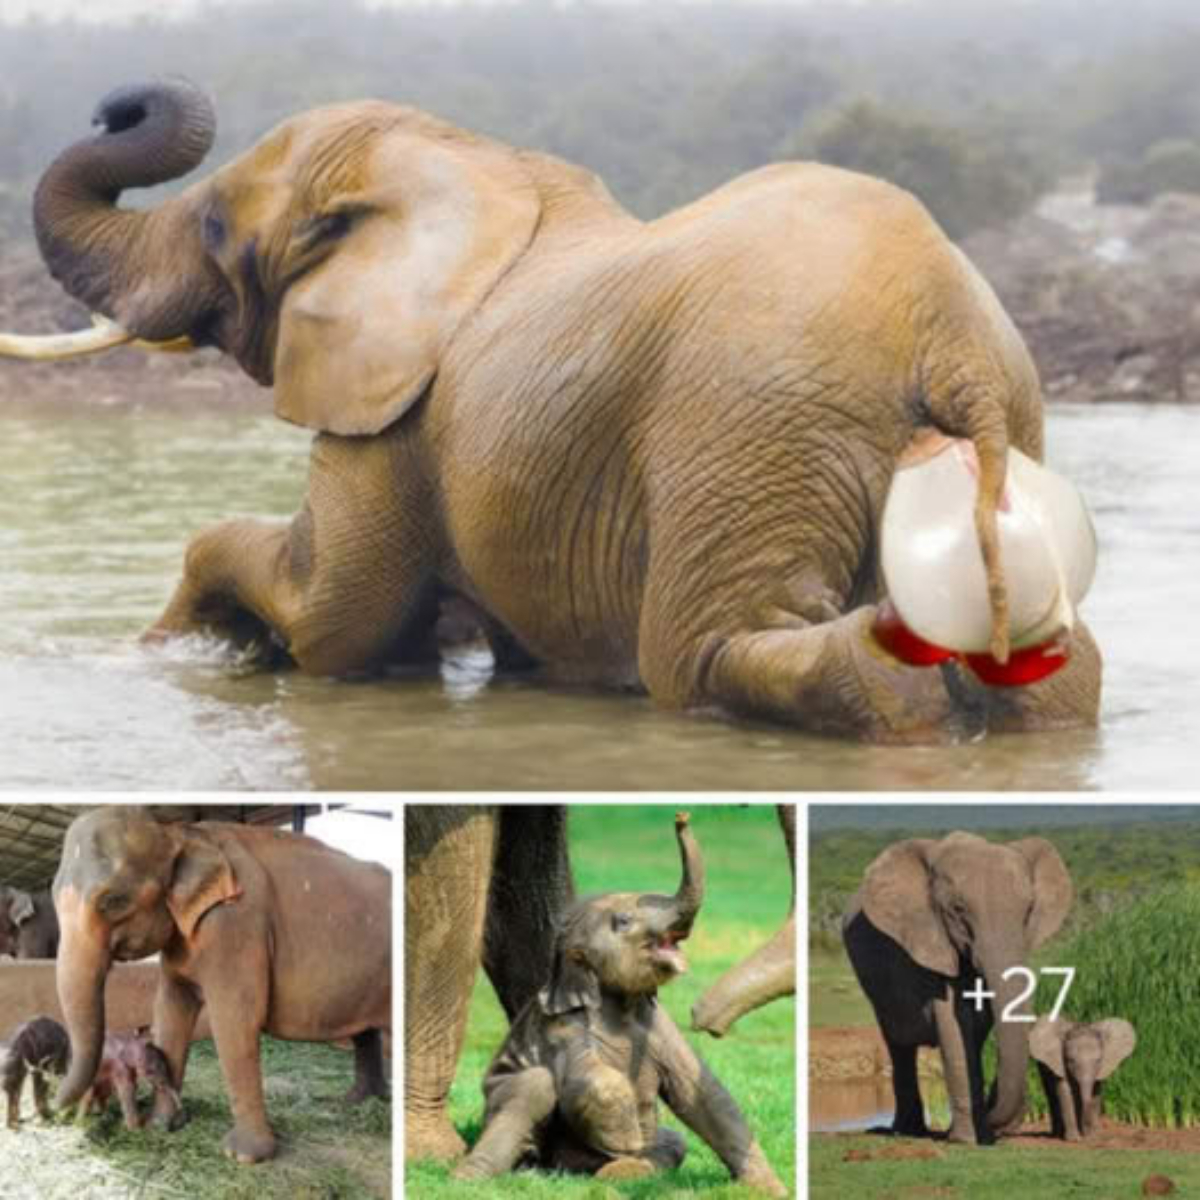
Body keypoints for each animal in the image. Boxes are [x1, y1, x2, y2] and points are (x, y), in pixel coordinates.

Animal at [0, 77, 1102, 743]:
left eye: (218, 229)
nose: (114, 106)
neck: (472, 159)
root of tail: (947, 330)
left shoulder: (396, 411)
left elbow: (333, 618)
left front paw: (190, 647)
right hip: (995, 421)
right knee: (1055, 665)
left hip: (752, 431)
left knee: (703, 650)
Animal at [52, 806, 391, 1163]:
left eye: (114, 901)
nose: (55, 1111)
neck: (177, 833)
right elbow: (171, 1009)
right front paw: (162, 1126)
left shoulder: (235, 926)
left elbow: (235, 1019)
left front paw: (242, 1156)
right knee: (365, 1031)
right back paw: (359, 1101)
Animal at [842, 831, 1072, 1145]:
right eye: (957, 910)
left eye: (1028, 912)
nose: (999, 1125)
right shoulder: (931, 944)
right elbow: (953, 1024)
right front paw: (966, 1140)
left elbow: (977, 1026)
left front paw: (975, 1134)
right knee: (898, 1045)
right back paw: (906, 1131)